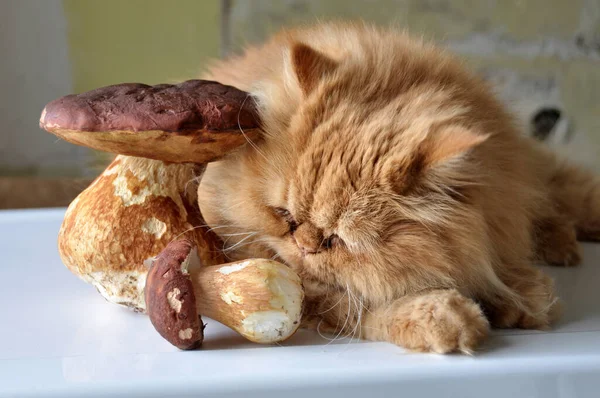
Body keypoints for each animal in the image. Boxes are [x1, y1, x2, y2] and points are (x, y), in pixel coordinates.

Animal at [196, 21, 596, 352]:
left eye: (340, 241)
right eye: (284, 216)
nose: (305, 247)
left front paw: (523, 294)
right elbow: (358, 304)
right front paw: (446, 315)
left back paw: (563, 245)